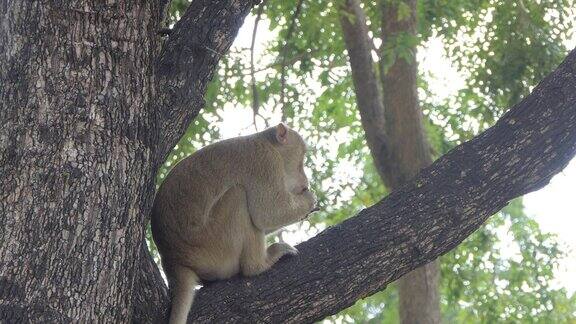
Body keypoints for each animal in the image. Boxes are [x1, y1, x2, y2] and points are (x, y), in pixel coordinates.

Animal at [151, 122, 318, 324]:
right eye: (301, 160)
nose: (305, 181)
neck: (268, 143)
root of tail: (173, 261)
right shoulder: (264, 162)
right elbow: (267, 213)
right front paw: (310, 200)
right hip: (214, 247)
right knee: (238, 195)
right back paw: (258, 265)